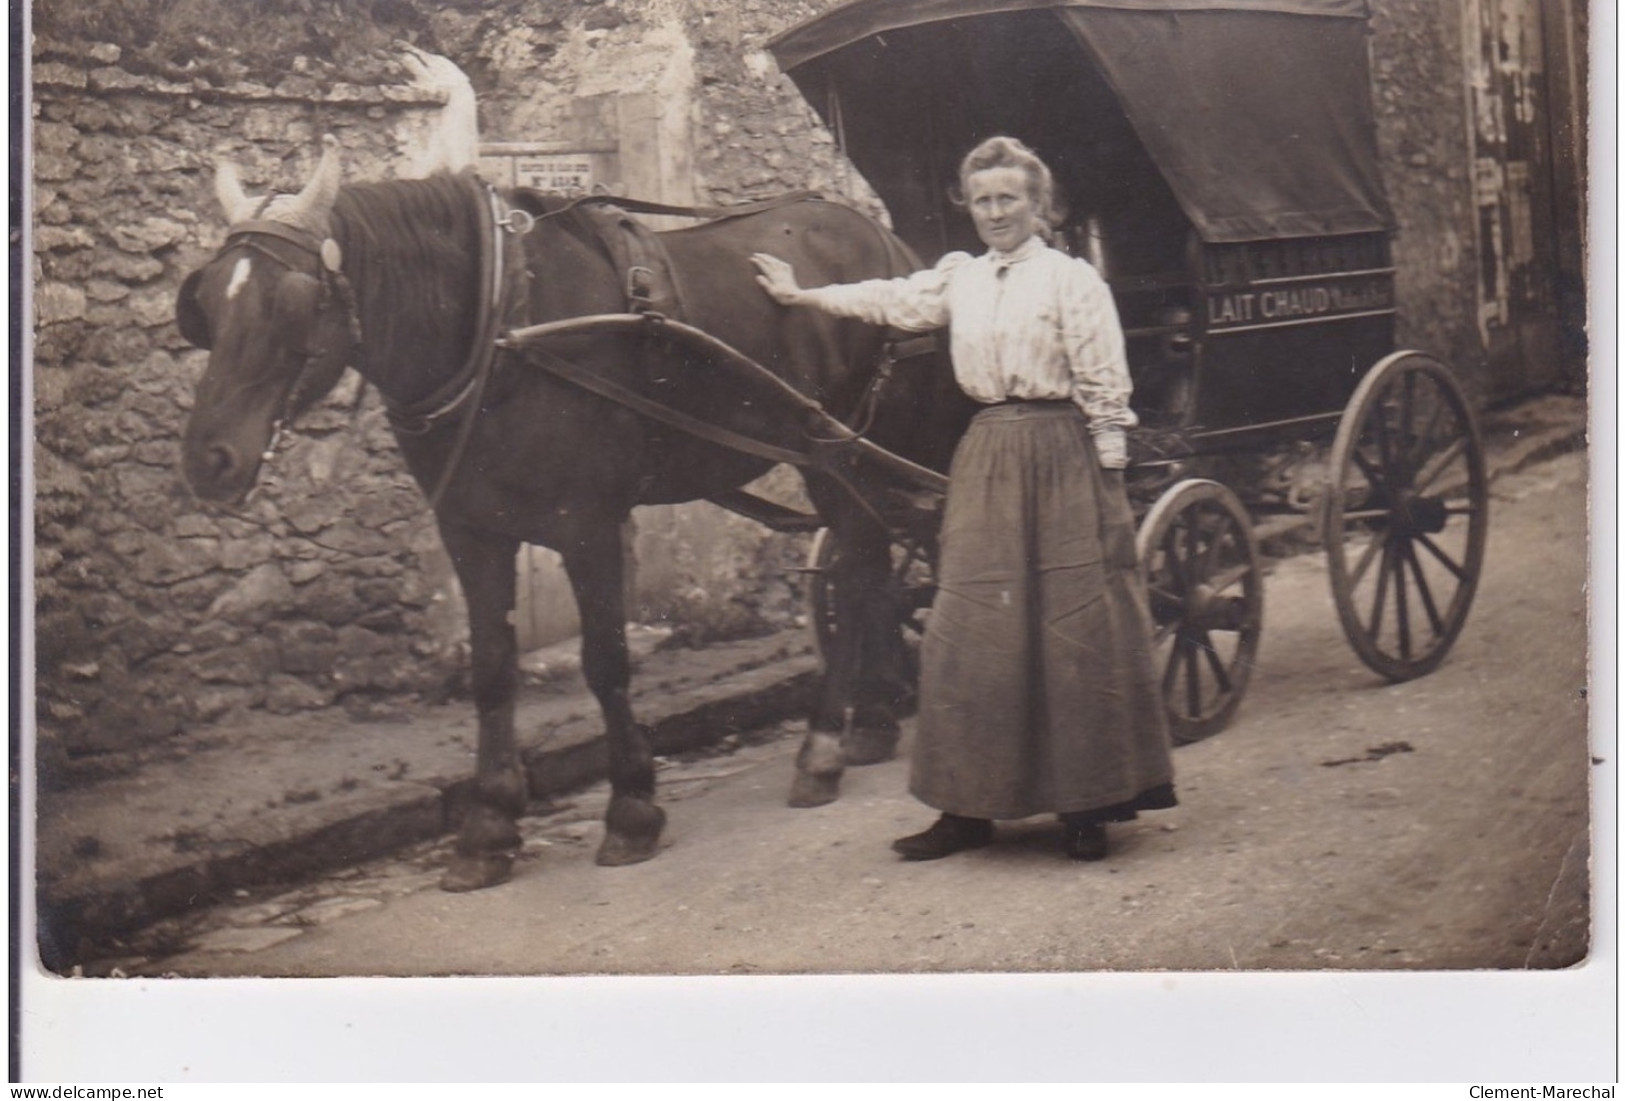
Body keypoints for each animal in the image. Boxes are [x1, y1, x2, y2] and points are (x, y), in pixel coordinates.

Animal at [177, 140, 968, 896]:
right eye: (206, 304)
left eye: (292, 301)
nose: (209, 458)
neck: (502, 324)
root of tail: (881, 236)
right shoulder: (472, 533)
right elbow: (493, 671)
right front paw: (488, 828)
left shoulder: (589, 527)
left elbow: (605, 662)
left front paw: (632, 810)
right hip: (839, 459)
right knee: (866, 573)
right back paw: (868, 723)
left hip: (845, 452)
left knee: (863, 568)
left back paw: (822, 747)